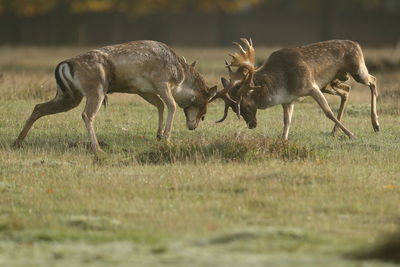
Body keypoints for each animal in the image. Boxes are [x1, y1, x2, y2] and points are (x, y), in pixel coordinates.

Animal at [14, 39, 217, 153]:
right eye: (204, 109)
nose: (193, 126)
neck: (179, 79)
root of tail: (64, 65)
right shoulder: (161, 81)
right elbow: (172, 105)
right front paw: (166, 137)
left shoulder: (142, 89)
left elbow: (160, 105)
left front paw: (159, 135)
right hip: (95, 89)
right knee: (87, 115)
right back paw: (98, 149)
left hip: (68, 96)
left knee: (38, 107)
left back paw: (18, 142)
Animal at [211, 39, 380, 141]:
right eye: (233, 109)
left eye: (244, 104)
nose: (252, 124)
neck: (282, 84)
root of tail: (358, 44)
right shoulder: (289, 100)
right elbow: (287, 121)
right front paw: (283, 140)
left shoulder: (311, 86)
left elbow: (328, 112)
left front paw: (352, 135)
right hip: (331, 83)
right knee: (347, 90)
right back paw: (334, 131)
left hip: (357, 69)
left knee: (373, 80)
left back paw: (376, 124)